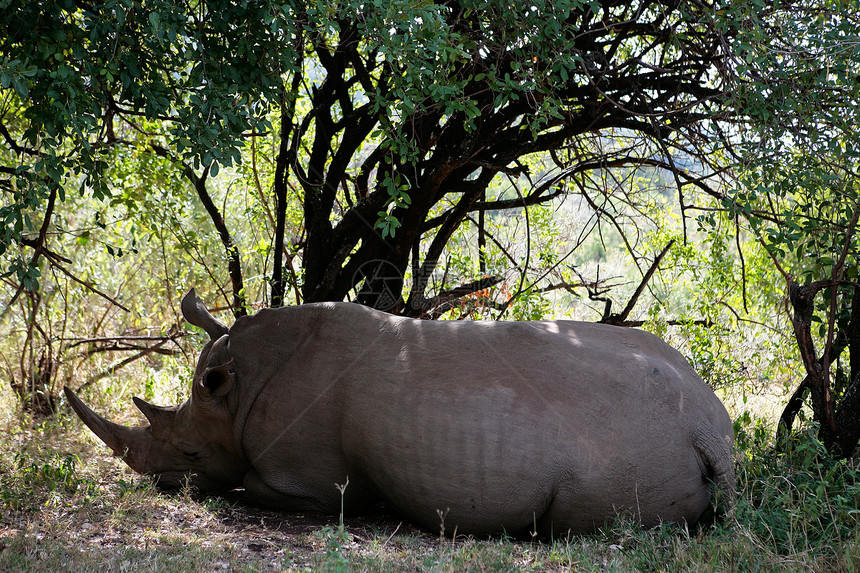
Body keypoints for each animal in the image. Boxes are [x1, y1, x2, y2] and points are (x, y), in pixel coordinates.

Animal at [69, 290, 732, 536]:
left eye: (188, 453)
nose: (161, 485)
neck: (239, 390)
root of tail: (711, 433)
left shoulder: (306, 482)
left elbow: (247, 484)